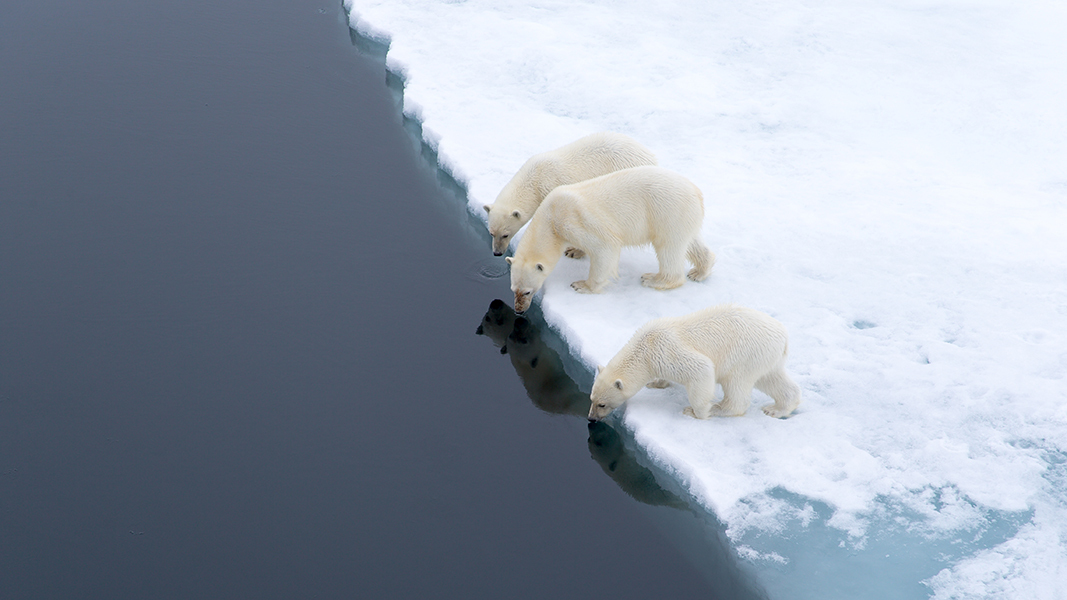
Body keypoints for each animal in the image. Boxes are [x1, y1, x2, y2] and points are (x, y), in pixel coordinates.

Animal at [486, 131, 653, 256]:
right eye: (492, 233)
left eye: (505, 234)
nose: (497, 253)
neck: (536, 178)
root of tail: (650, 158)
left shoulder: (552, 188)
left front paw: (572, 249)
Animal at [503, 164, 712, 313]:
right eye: (513, 289)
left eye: (528, 291)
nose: (519, 310)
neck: (550, 215)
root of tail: (698, 193)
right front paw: (573, 251)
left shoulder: (572, 219)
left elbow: (604, 247)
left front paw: (582, 285)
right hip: (682, 216)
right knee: (690, 242)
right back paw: (699, 271)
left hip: (667, 211)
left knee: (668, 248)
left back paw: (653, 279)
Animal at [584, 303, 802, 420]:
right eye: (591, 399)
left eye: (602, 404)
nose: (591, 418)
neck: (645, 347)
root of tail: (783, 336)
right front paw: (655, 383)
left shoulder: (666, 350)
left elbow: (701, 369)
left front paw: (696, 412)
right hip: (766, 356)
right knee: (772, 378)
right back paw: (776, 409)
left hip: (745, 354)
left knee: (737, 385)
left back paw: (719, 408)